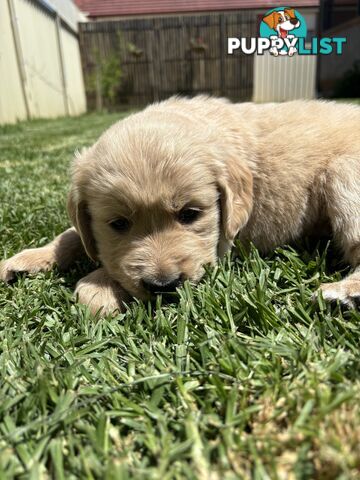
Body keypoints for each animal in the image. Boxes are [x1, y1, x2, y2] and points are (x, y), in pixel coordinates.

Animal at [0, 97, 360, 312]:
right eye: (118, 224)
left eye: (190, 214)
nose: (163, 286)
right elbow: (72, 235)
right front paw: (27, 259)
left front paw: (98, 285)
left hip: (344, 173)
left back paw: (344, 294)